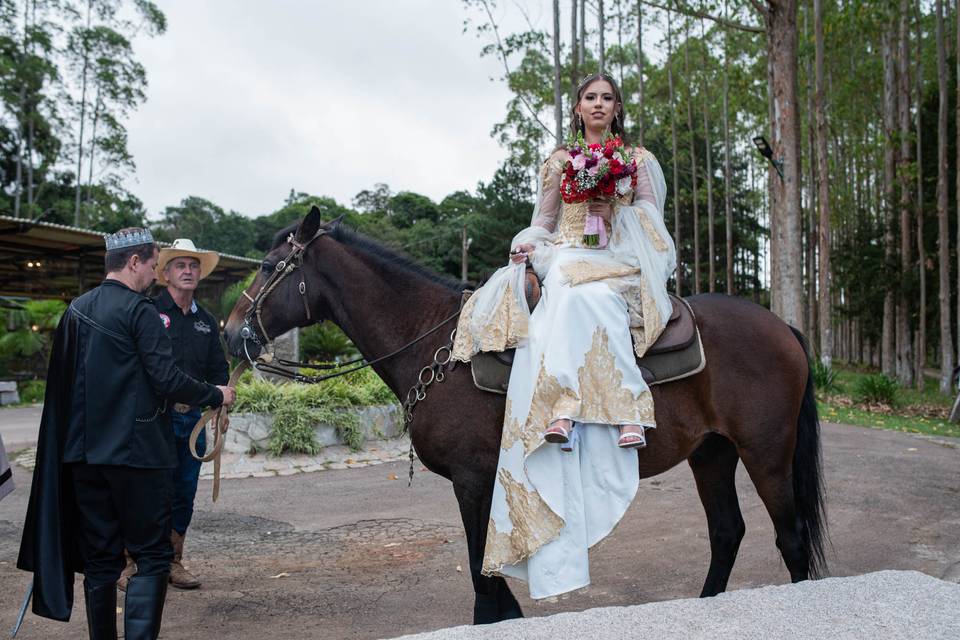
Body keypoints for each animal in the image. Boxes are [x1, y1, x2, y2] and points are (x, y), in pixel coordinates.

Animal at [223, 209, 824, 624]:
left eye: (271, 268)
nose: (232, 335)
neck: (445, 347)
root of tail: (785, 329)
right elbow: (490, 576)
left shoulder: (471, 479)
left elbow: (480, 575)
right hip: (712, 454)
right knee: (727, 533)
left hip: (766, 454)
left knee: (790, 538)